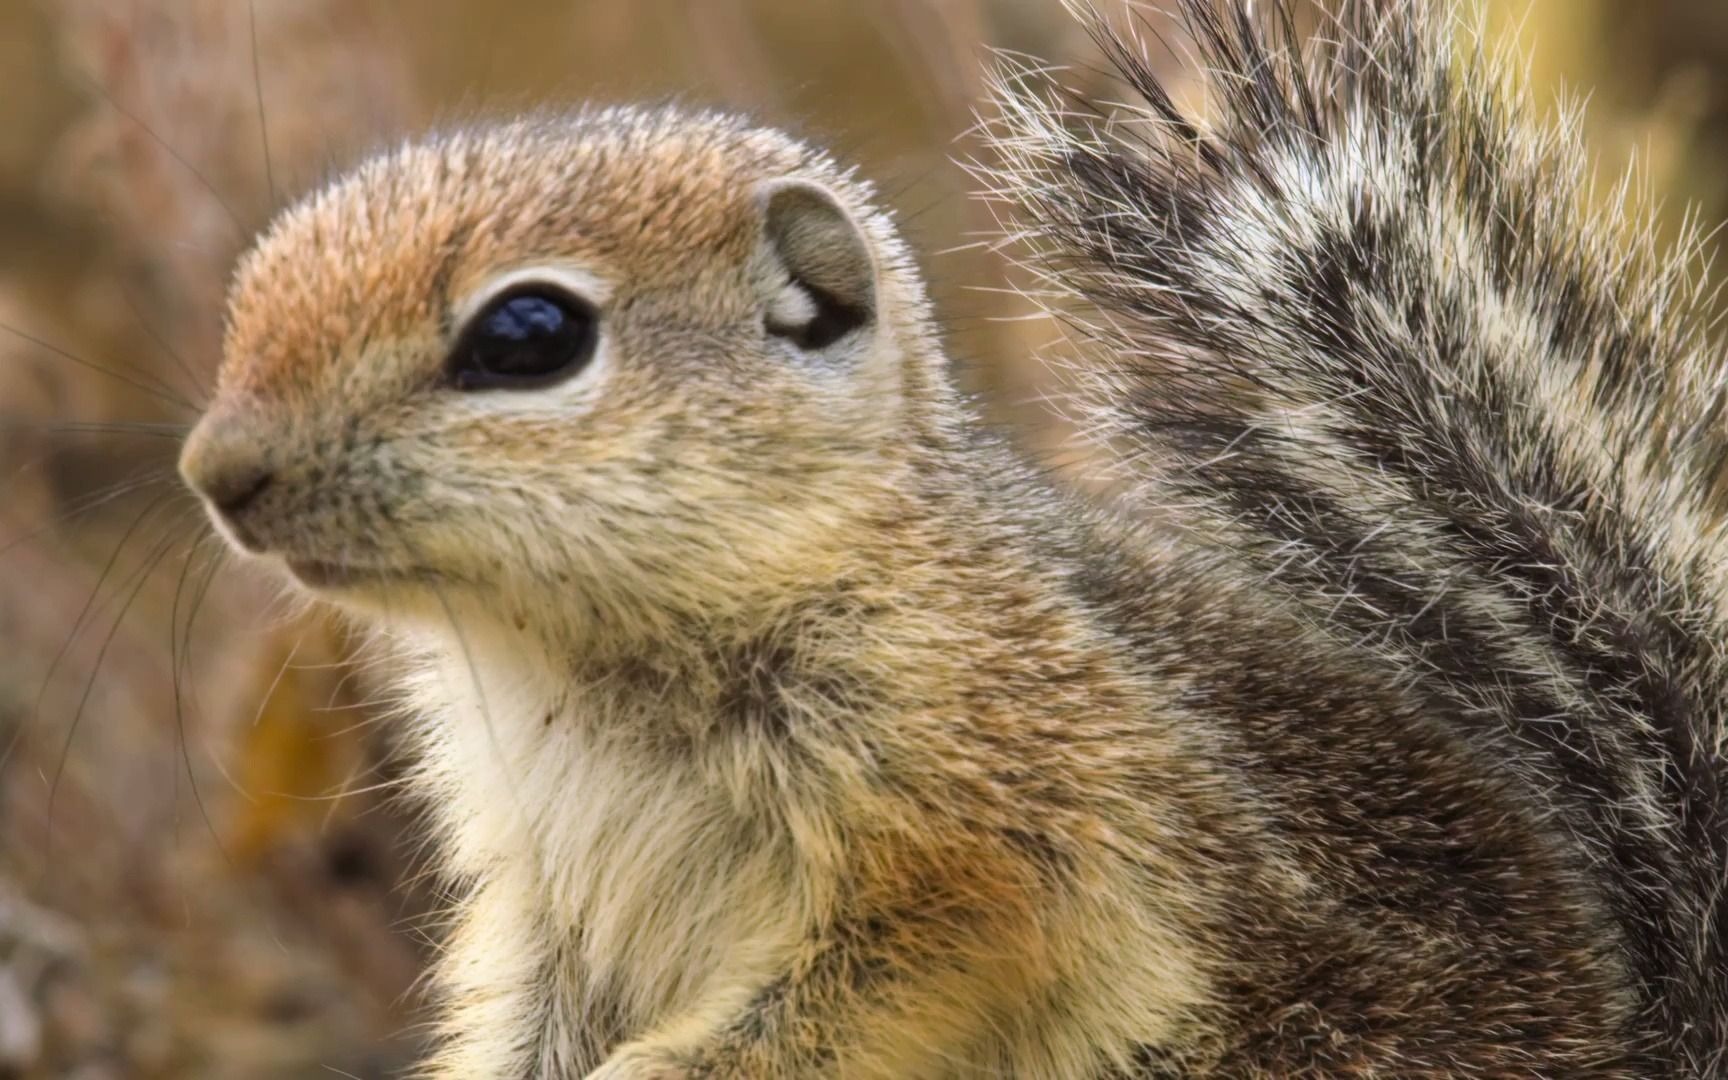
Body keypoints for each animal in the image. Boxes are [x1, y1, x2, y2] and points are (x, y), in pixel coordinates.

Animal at [175, 2, 1728, 1078]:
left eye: (530, 334)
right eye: (257, 278)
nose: (217, 474)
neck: (569, 657)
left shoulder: (988, 804)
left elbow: (913, 966)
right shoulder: (541, 895)